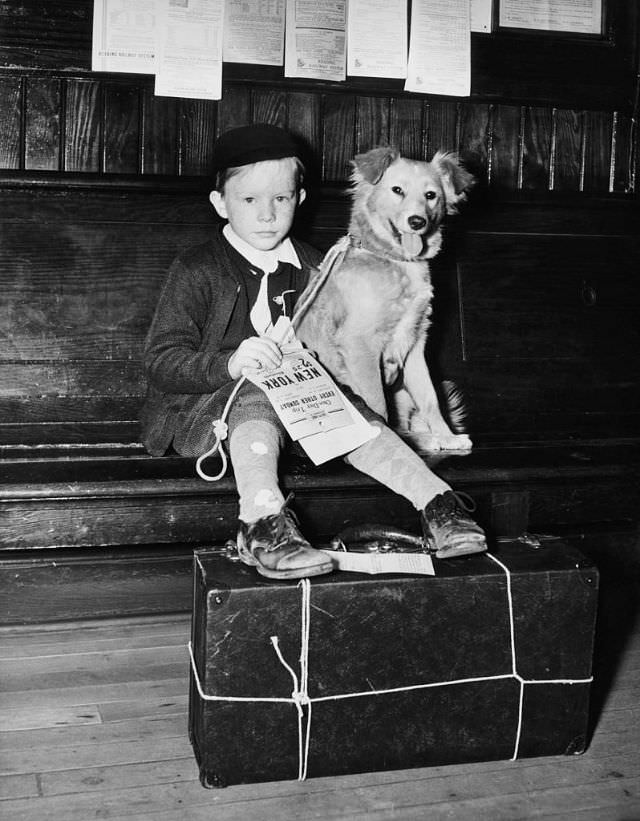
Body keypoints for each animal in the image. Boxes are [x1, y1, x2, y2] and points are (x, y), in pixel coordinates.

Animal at [298, 149, 472, 454]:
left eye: (431, 195)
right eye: (397, 190)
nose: (417, 222)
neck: (395, 260)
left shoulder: (415, 343)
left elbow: (430, 397)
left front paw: (447, 436)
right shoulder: (360, 344)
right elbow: (377, 404)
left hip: (401, 392)